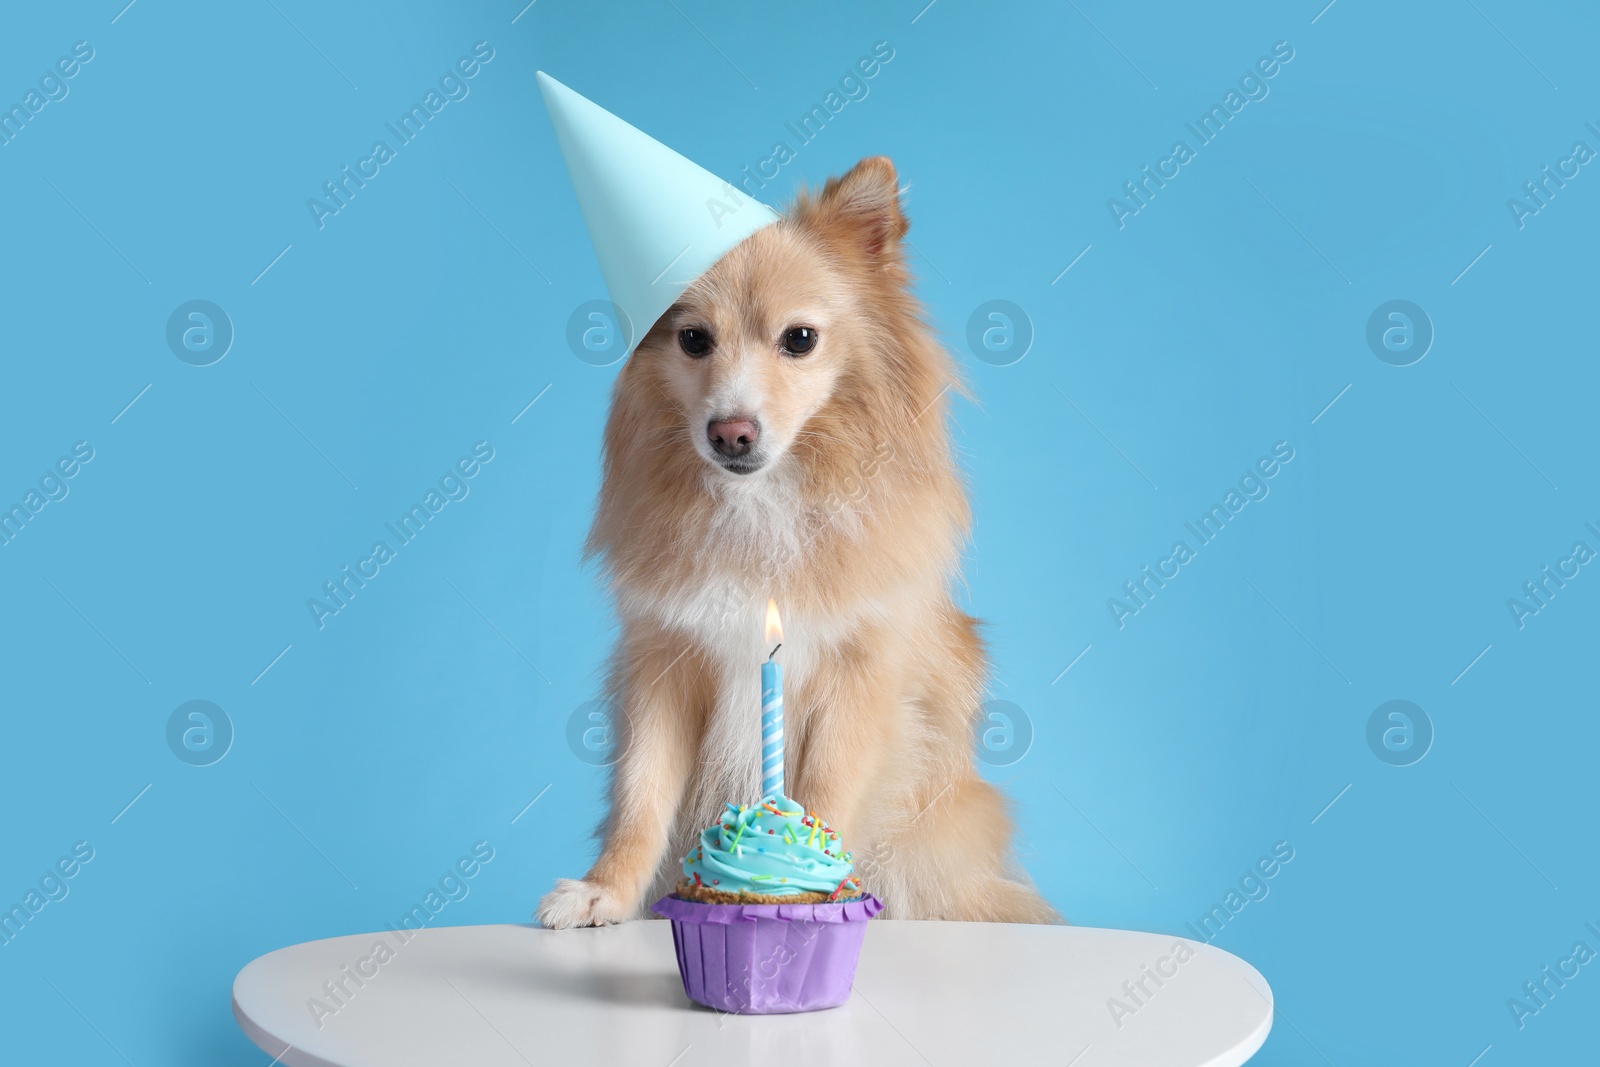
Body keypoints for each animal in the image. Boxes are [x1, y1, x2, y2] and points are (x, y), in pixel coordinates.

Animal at [537, 156, 1062, 927]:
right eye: (693, 340)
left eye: (800, 339)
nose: (730, 432)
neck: (762, 503)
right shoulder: (664, 664)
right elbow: (642, 796)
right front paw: (606, 888)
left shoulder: (857, 676)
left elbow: (822, 795)